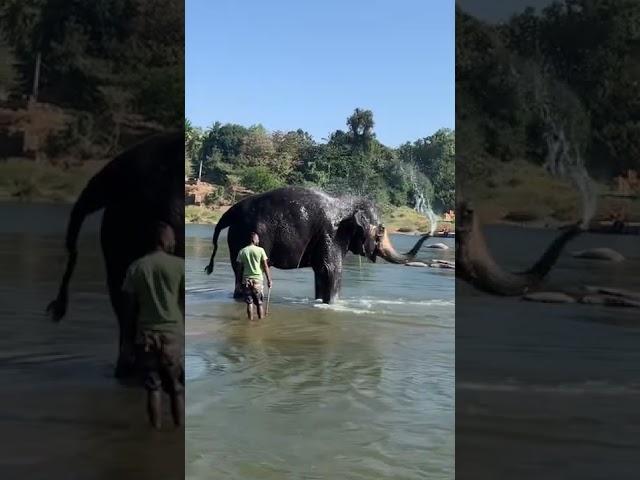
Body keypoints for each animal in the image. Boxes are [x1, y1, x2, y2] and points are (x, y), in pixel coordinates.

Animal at [206, 186, 430, 302]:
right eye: (381, 231)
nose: (429, 233)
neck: (347, 204)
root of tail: (229, 213)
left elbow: (322, 272)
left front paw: (320, 302)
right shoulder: (331, 234)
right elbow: (332, 269)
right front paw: (333, 305)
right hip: (243, 236)